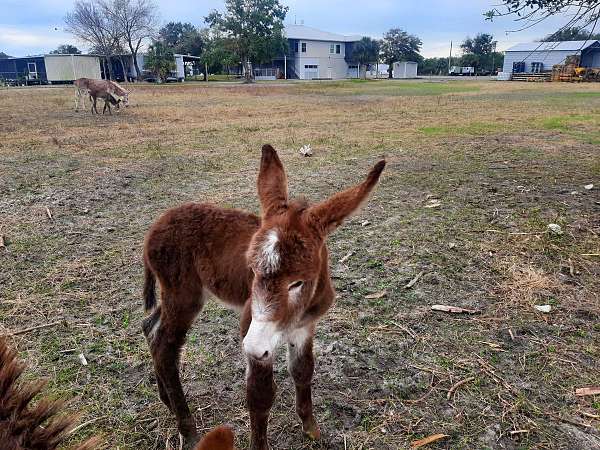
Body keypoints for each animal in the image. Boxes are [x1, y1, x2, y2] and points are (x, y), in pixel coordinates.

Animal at [141, 146, 384, 448]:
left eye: (297, 282)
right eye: (252, 270)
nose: (253, 347)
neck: (300, 310)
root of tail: (156, 225)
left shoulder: (304, 326)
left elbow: (303, 370)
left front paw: (311, 429)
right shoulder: (252, 326)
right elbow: (260, 396)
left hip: (176, 294)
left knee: (151, 328)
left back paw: (167, 402)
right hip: (184, 294)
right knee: (166, 346)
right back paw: (188, 429)